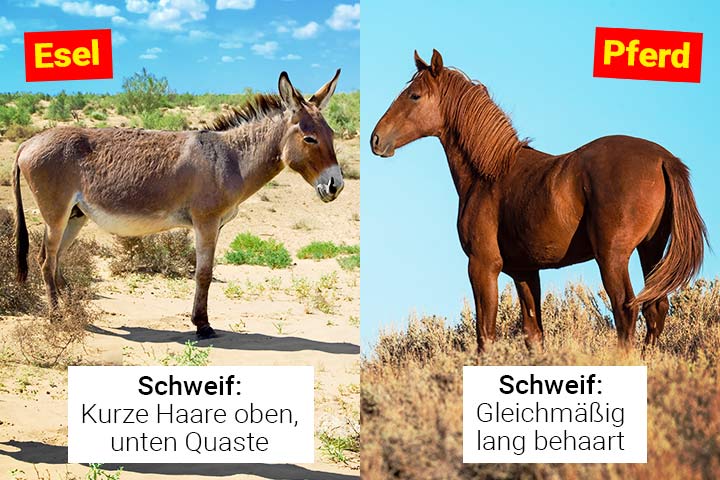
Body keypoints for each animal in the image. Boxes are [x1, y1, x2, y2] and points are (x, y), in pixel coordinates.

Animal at [14, 70, 344, 339]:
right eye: (310, 138)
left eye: (332, 134)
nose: (336, 186)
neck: (231, 159)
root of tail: (28, 142)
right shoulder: (206, 221)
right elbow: (204, 274)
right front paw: (203, 326)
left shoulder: (216, 224)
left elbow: (204, 272)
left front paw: (201, 322)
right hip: (56, 214)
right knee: (46, 259)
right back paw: (57, 316)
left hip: (75, 215)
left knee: (55, 258)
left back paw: (71, 306)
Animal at [371, 49, 707, 352]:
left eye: (414, 96)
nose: (376, 140)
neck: (489, 175)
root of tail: (663, 159)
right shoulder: (524, 272)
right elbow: (533, 334)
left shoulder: (482, 266)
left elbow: (485, 336)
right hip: (650, 250)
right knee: (655, 309)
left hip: (613, 257)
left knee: (626, 310)